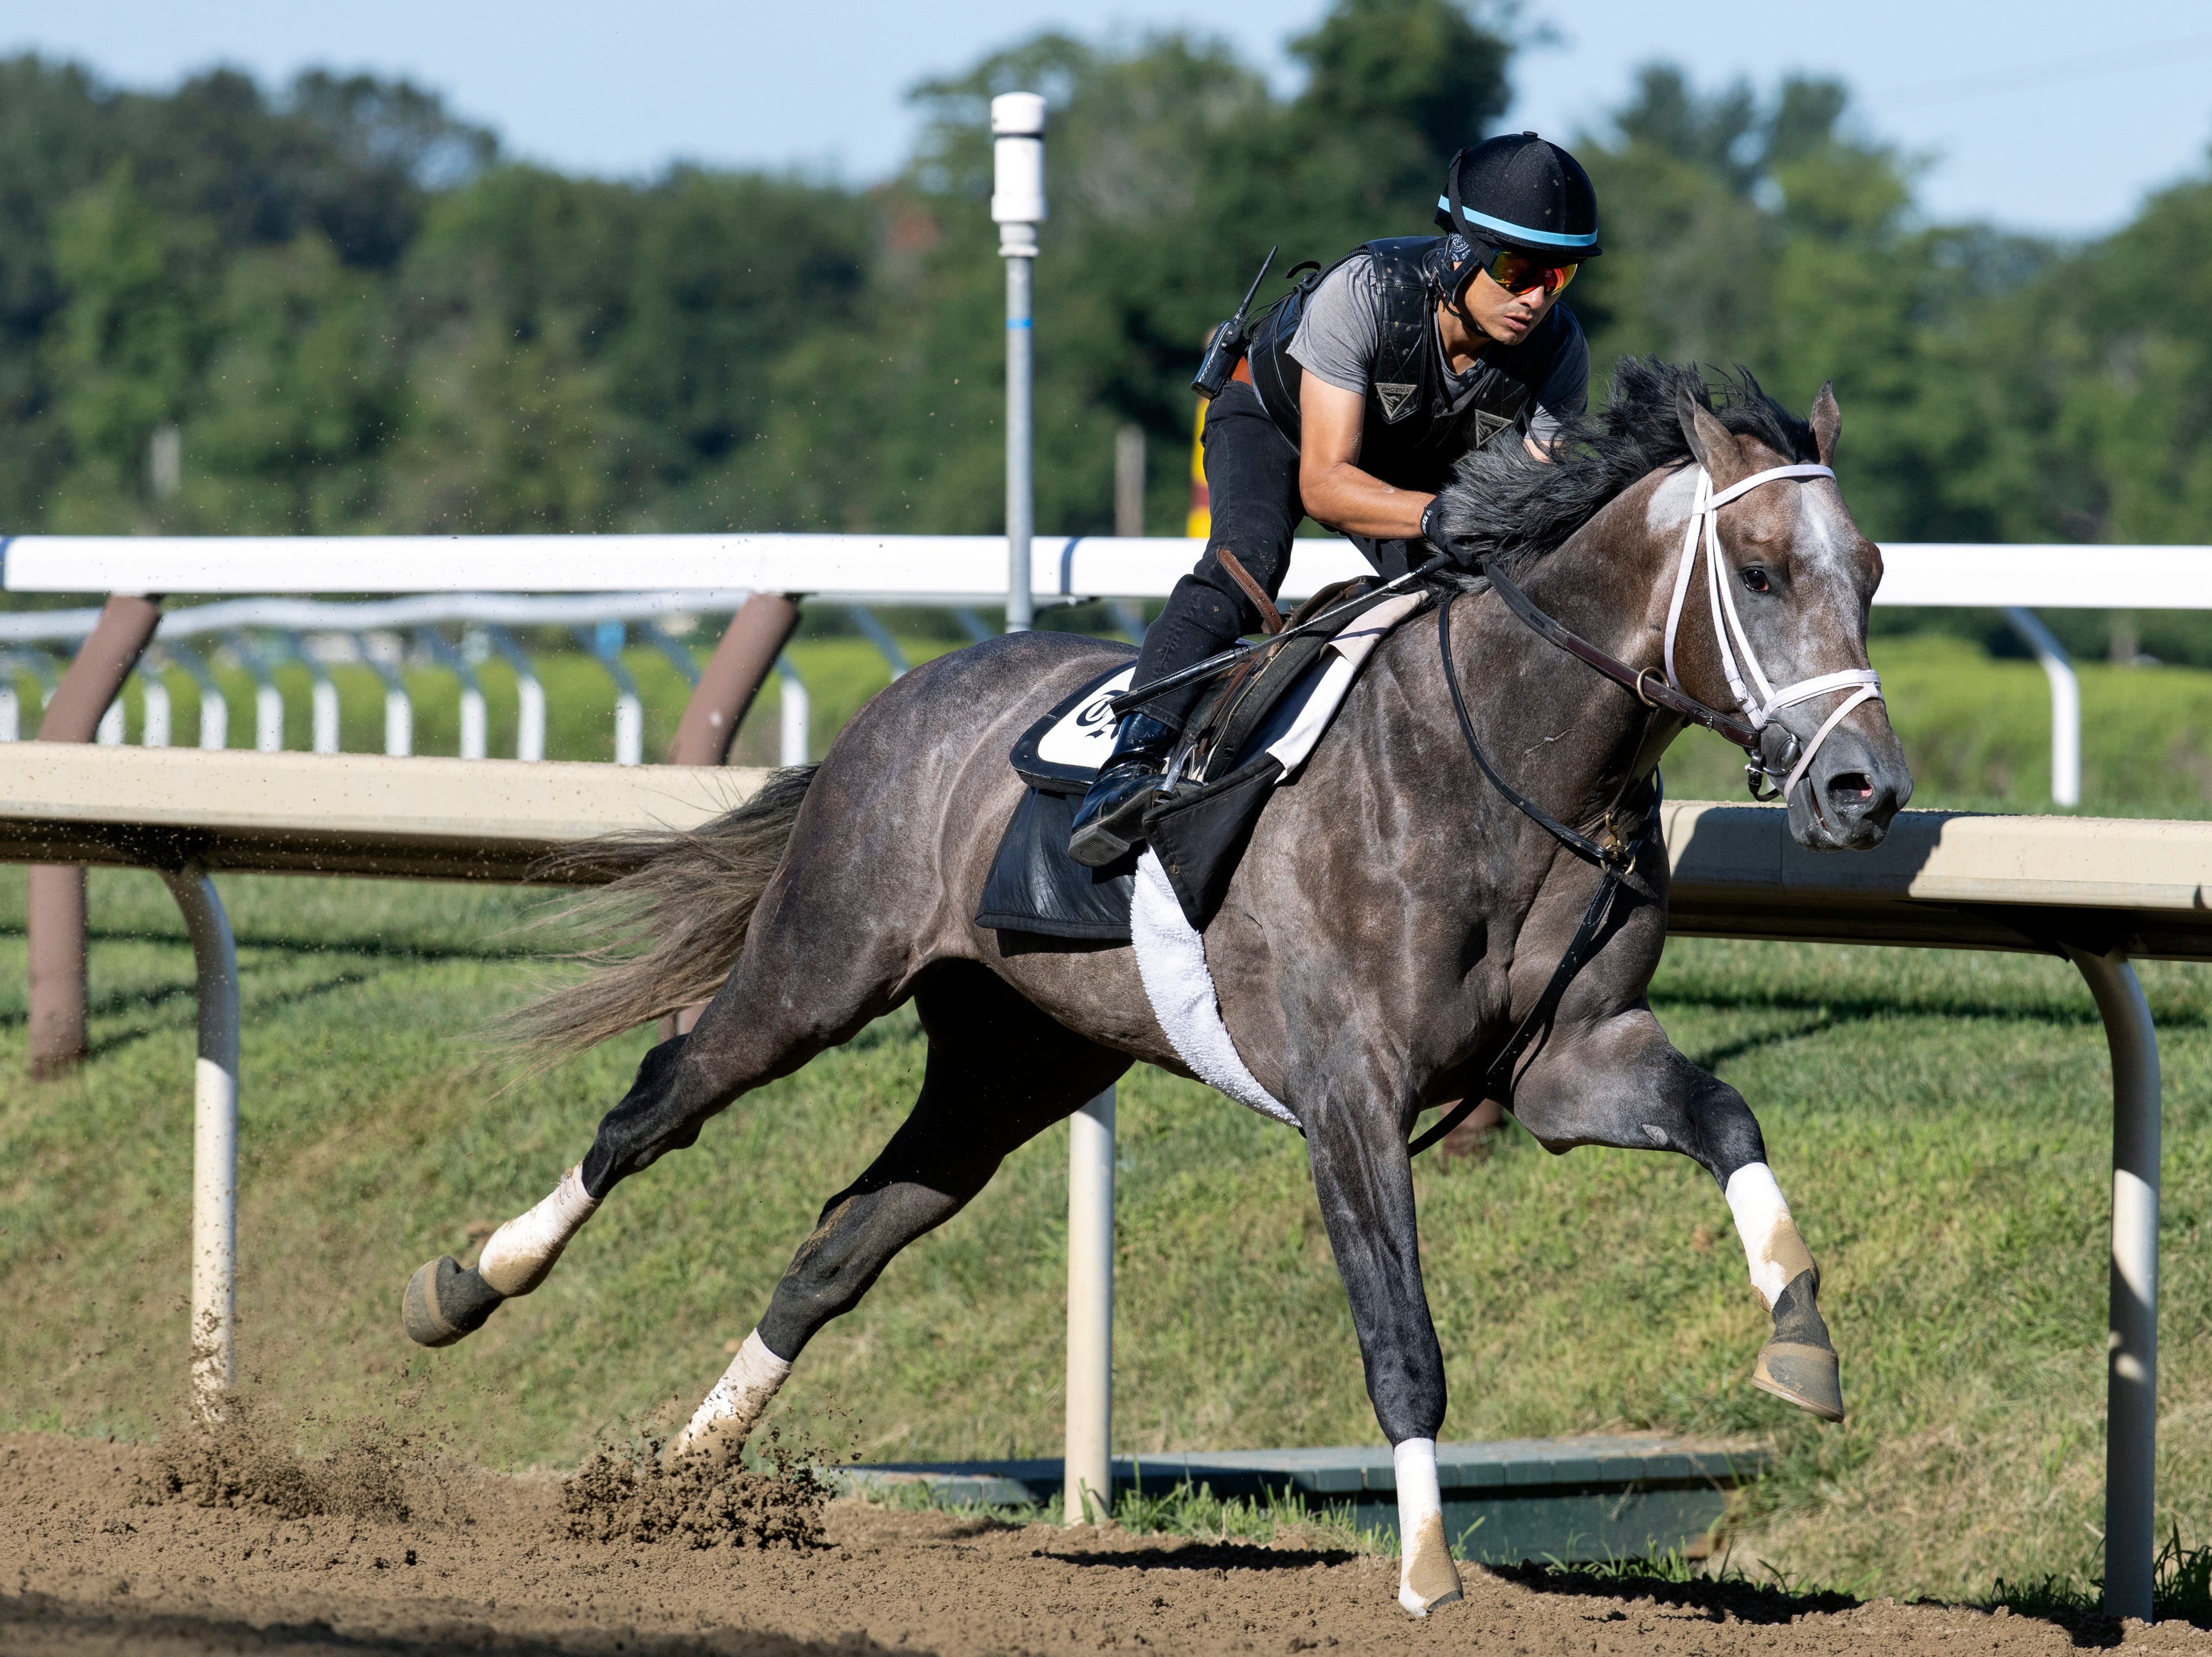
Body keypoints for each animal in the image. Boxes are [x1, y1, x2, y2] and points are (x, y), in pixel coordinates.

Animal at [407, 365, 1911, 1619]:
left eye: (1873, 570)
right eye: (1759, 569)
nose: (1864, 790)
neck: (1501, 758)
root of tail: (905, 694)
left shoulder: (1567, 1061)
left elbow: (1723, 1117)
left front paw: (1800, 1337)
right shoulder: (1348, 1091)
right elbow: (1398, 1331)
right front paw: (1425, 1567)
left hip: (1014, 1057)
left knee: (843, 1238)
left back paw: (682, 1471)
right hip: (818, 966)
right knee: (658, 1103)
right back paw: (472, 1281)